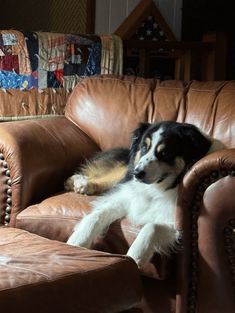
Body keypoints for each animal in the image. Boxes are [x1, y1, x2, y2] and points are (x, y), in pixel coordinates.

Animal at [65, 120, 223, 266]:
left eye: (165, 152)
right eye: (144, 147)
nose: (137, 174)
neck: (156, 188)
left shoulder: (175, 224)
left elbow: (151, 226)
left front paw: (135, 257)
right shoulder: (124, 197)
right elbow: (96, 216)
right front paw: (76, 242)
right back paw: (81, 184)